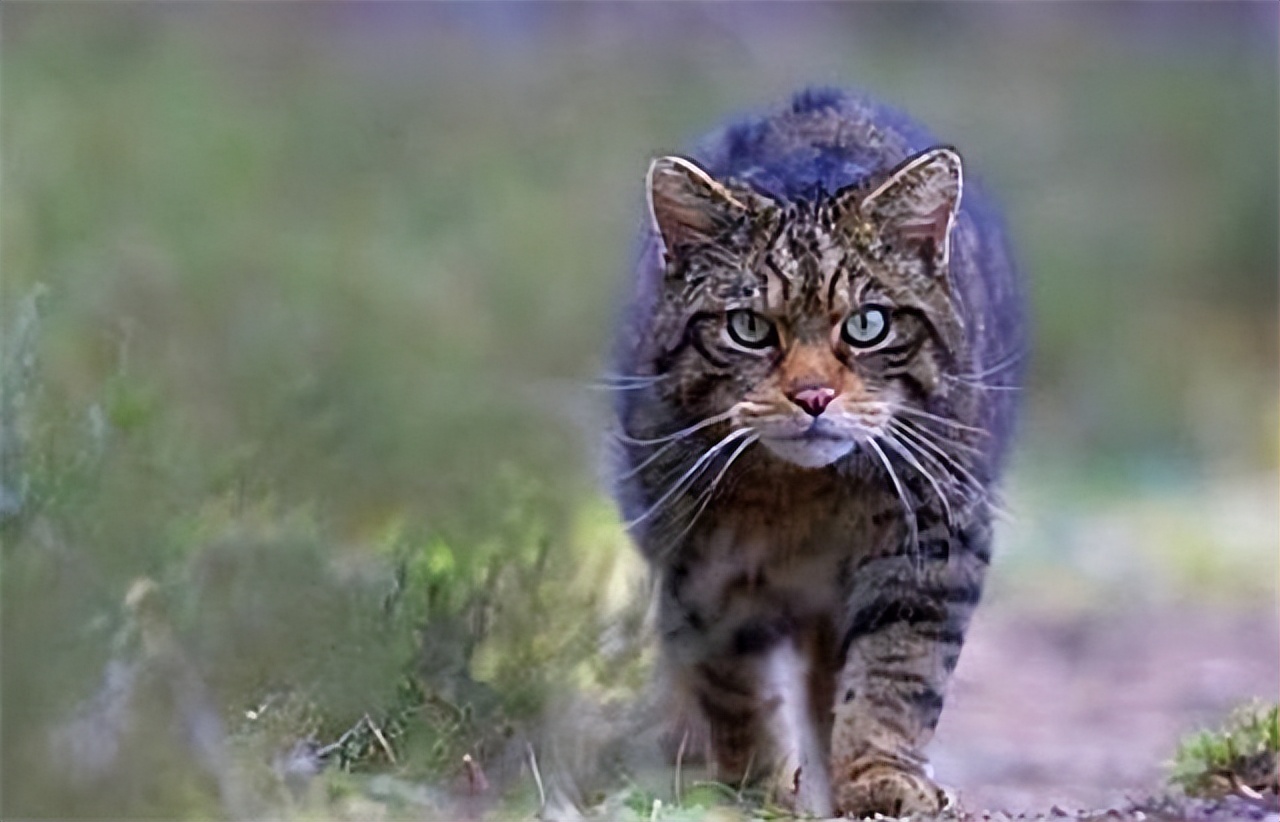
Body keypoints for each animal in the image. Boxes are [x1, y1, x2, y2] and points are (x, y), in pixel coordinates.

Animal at [614, 89, 1024, 814]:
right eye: (749, 328)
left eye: (868, 324)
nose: (812, 395)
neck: (804, 499)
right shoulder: (701, 567)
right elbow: (737, 690)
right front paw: (758, 788)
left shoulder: (932, 544)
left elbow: (896, 674)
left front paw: (878, 775)